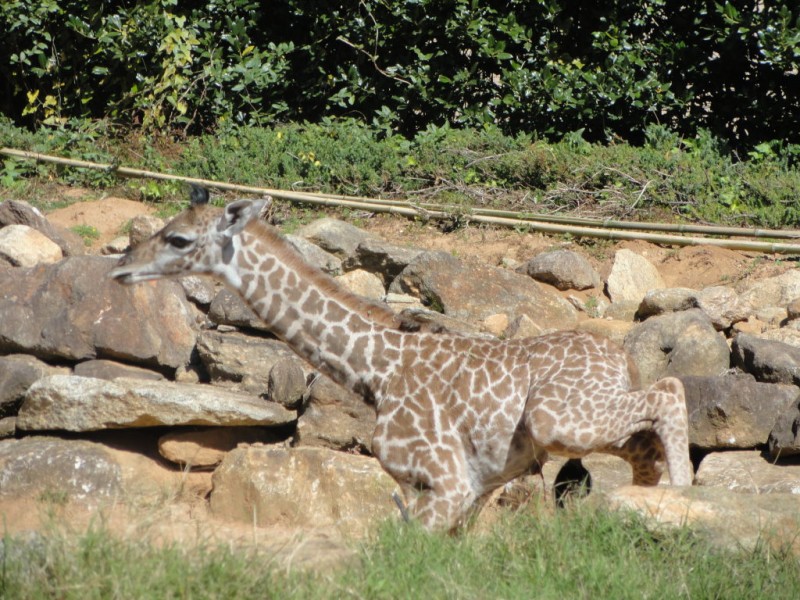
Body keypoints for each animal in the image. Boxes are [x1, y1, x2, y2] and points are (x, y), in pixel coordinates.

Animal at [109, 186, 692, 528]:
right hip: (589, 424)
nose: (120, 269)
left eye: (178, 238)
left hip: (557, 417)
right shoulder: (474, 488)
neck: (376, 368)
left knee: (670, 390)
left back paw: (687, 502)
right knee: (645, 447)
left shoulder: (445, 481)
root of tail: (620, 359)